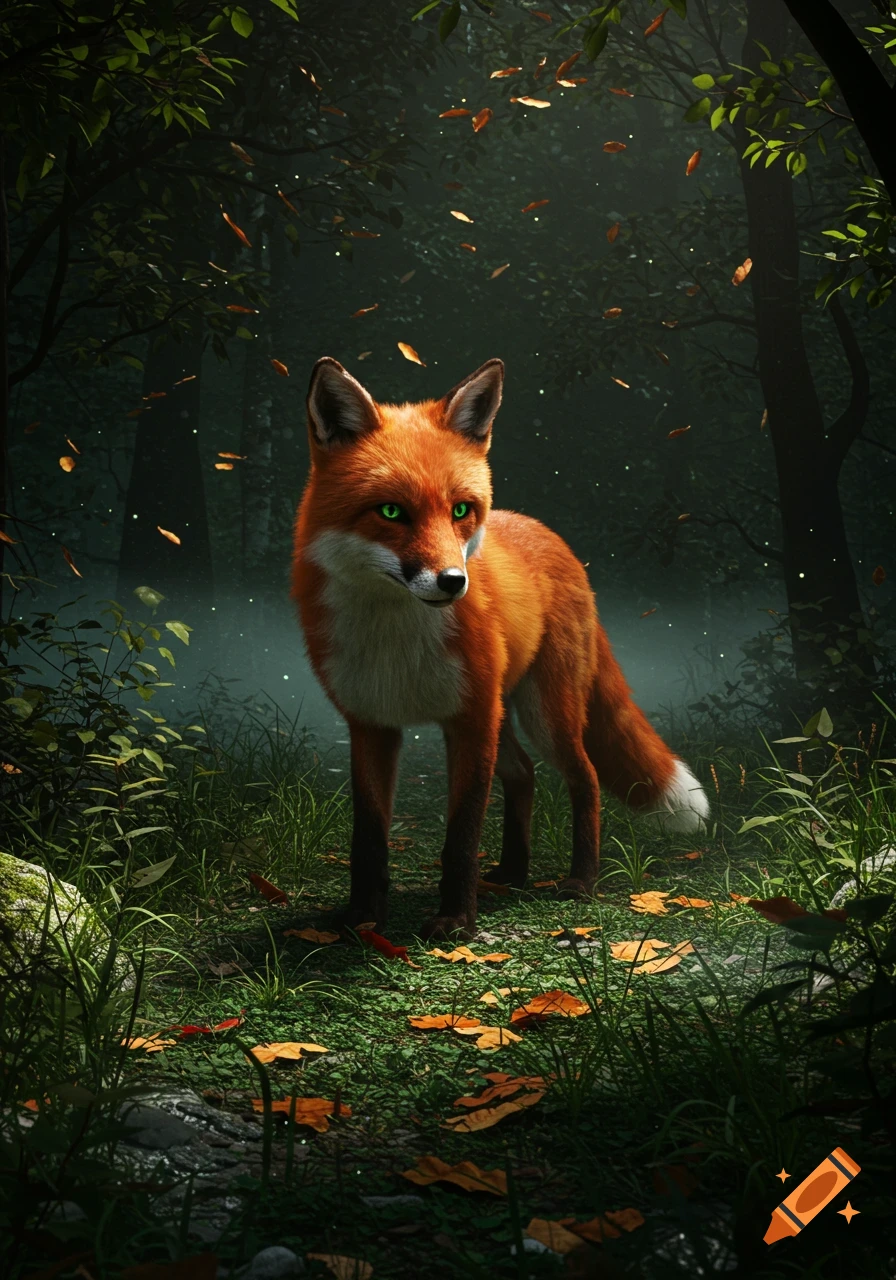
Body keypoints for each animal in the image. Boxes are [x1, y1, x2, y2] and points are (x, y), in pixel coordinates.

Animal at [291, 356, 709, 941]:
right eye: (391, 512)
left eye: (461, 510)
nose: (452, 582)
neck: (398, 640)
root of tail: (550, 535)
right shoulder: (372, 723)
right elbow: (368, 840)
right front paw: (362, 919)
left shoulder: (470, 718)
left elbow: (462, 837)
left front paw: (454, 922)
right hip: (507, 713)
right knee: (524, 774)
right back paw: (513, 872)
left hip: (545, 713)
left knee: (585, 777)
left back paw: (581, 881)